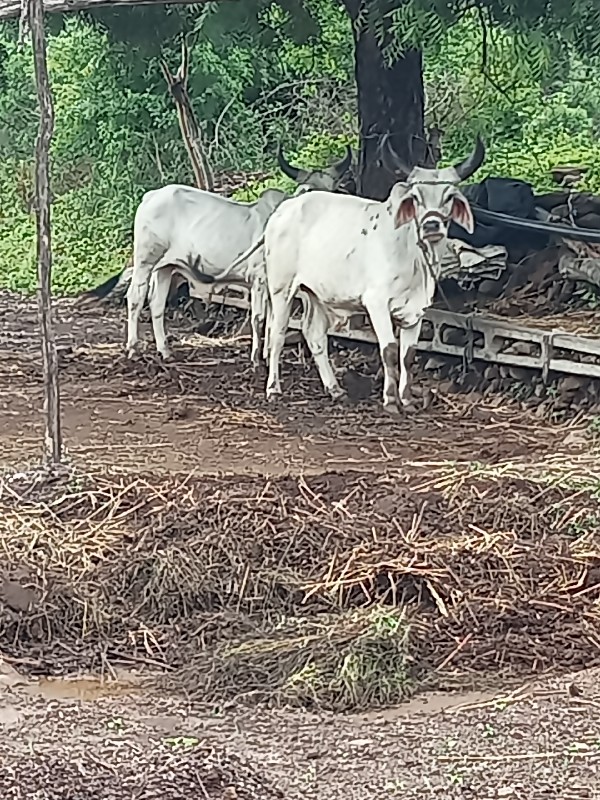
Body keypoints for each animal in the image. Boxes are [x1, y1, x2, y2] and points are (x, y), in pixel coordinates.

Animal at [125, 145, 352, 364]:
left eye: (332, 190)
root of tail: (150, 196)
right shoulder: (259, 279)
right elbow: (259, 318)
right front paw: (256, 358)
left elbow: (271, 321)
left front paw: (267, 354)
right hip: (145, 260)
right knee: (135, 296)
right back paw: (133, 348)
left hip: (166, 266)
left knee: (157, 303)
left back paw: (165, 351)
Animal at [260, 134, 486, 412]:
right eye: (416, 197)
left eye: (450, 196)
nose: (432, 226)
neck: (413, 253)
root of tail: (284, 209)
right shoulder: (376, 303)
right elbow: (389, 350)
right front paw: (390, 400)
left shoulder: (416, 310)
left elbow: (408, 355)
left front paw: (407, 400)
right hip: (282, 288)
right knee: (277, 333)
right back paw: (273, 389)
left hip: (317, 295)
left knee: (314, 335)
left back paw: (335, 389)